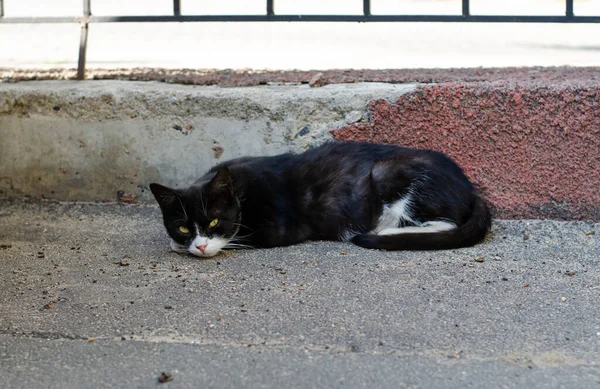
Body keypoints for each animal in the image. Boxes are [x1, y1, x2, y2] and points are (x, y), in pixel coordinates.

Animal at [151, 141, 492, 256]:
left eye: (213, 222)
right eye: (183, 227)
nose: (199, 245)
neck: (240, 190)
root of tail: (470, 189)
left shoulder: (277, 226)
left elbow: (240, 237)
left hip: (388, 172)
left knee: (444, 222)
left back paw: (385, 231)